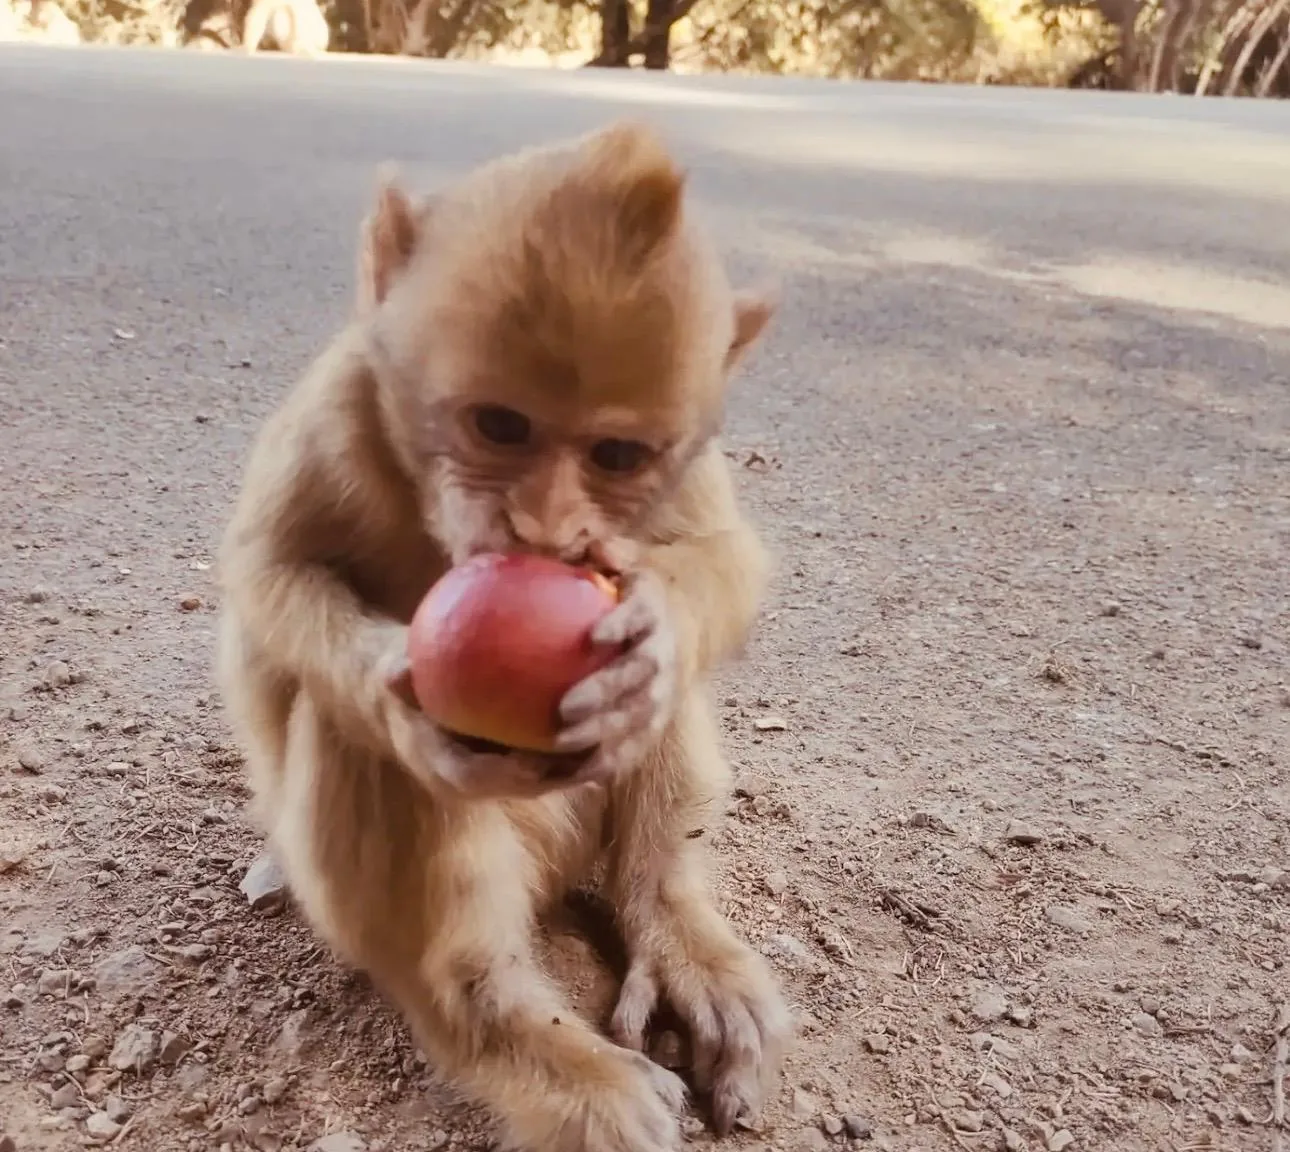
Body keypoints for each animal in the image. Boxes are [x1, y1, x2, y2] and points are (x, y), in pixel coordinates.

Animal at [215, 121, 791, 1152]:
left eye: (616, 456)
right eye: (499, 426)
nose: (544, 528)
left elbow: (725, 559)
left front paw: (654, 641)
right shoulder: (336, 405)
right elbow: (268, 575)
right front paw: (398, 699)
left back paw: (672, 922)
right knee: (355, 745)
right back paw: (511, 1032)